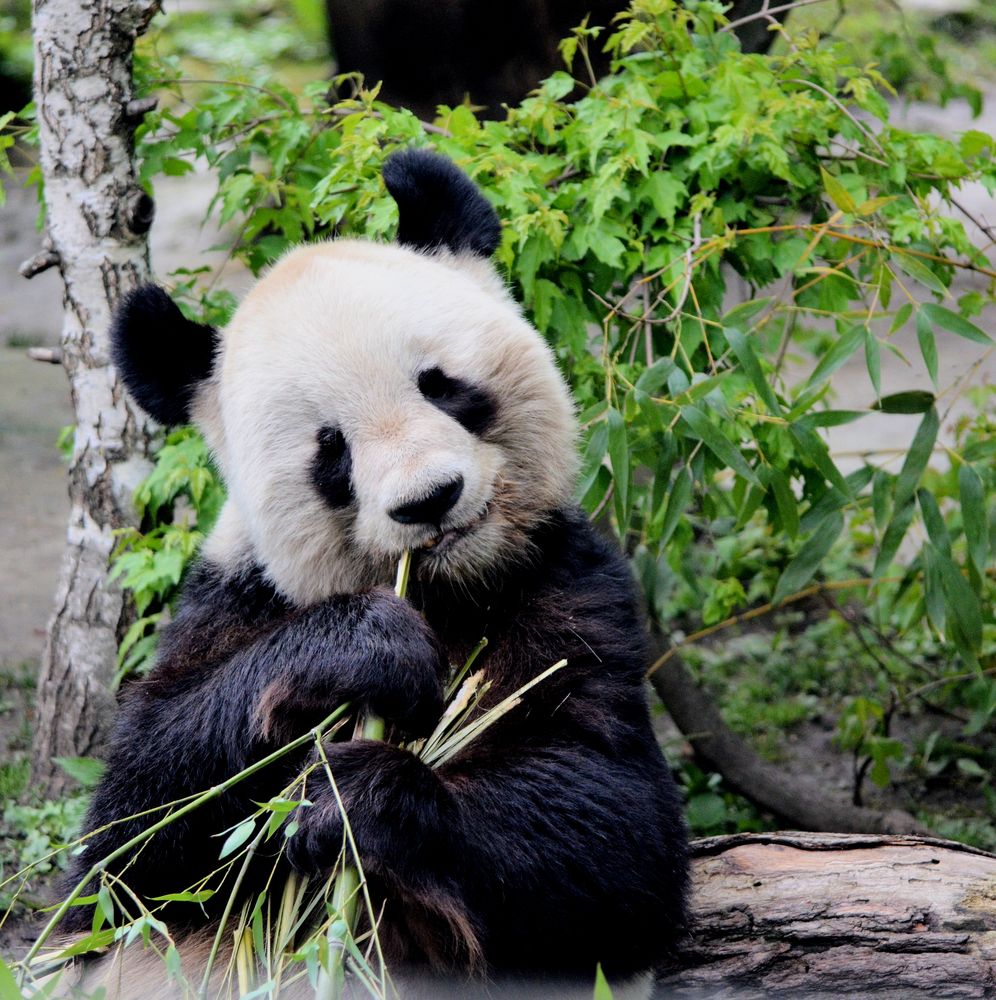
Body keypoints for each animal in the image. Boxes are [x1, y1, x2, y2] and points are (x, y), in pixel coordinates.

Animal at [58, 150, 688, 1000]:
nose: (429, 500)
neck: (450, 588)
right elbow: (127, 849)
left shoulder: (566, 587)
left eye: (441, 384)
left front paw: (354, 799)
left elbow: (620, 833)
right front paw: (369, 649)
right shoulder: (235, 599)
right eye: (332, 448)